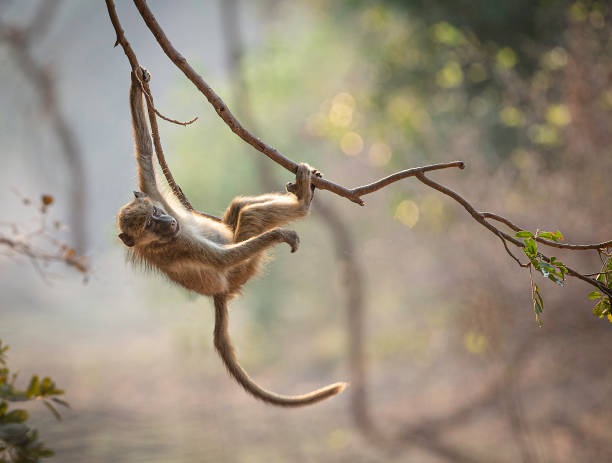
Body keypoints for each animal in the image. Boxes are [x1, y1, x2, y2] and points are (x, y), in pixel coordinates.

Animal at [115, 67, 344, 408]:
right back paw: (302, 202)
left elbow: (144, 152)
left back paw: (298, 190)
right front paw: (280, 233)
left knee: (239, 208)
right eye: (149, 227)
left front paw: (135, 81)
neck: (161, 238)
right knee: (248, 219)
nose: (168, 221)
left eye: (154, 214)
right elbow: (221, 258)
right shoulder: (179, 244)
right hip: (243, 271)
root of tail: (221, 293)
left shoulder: (153, 193)